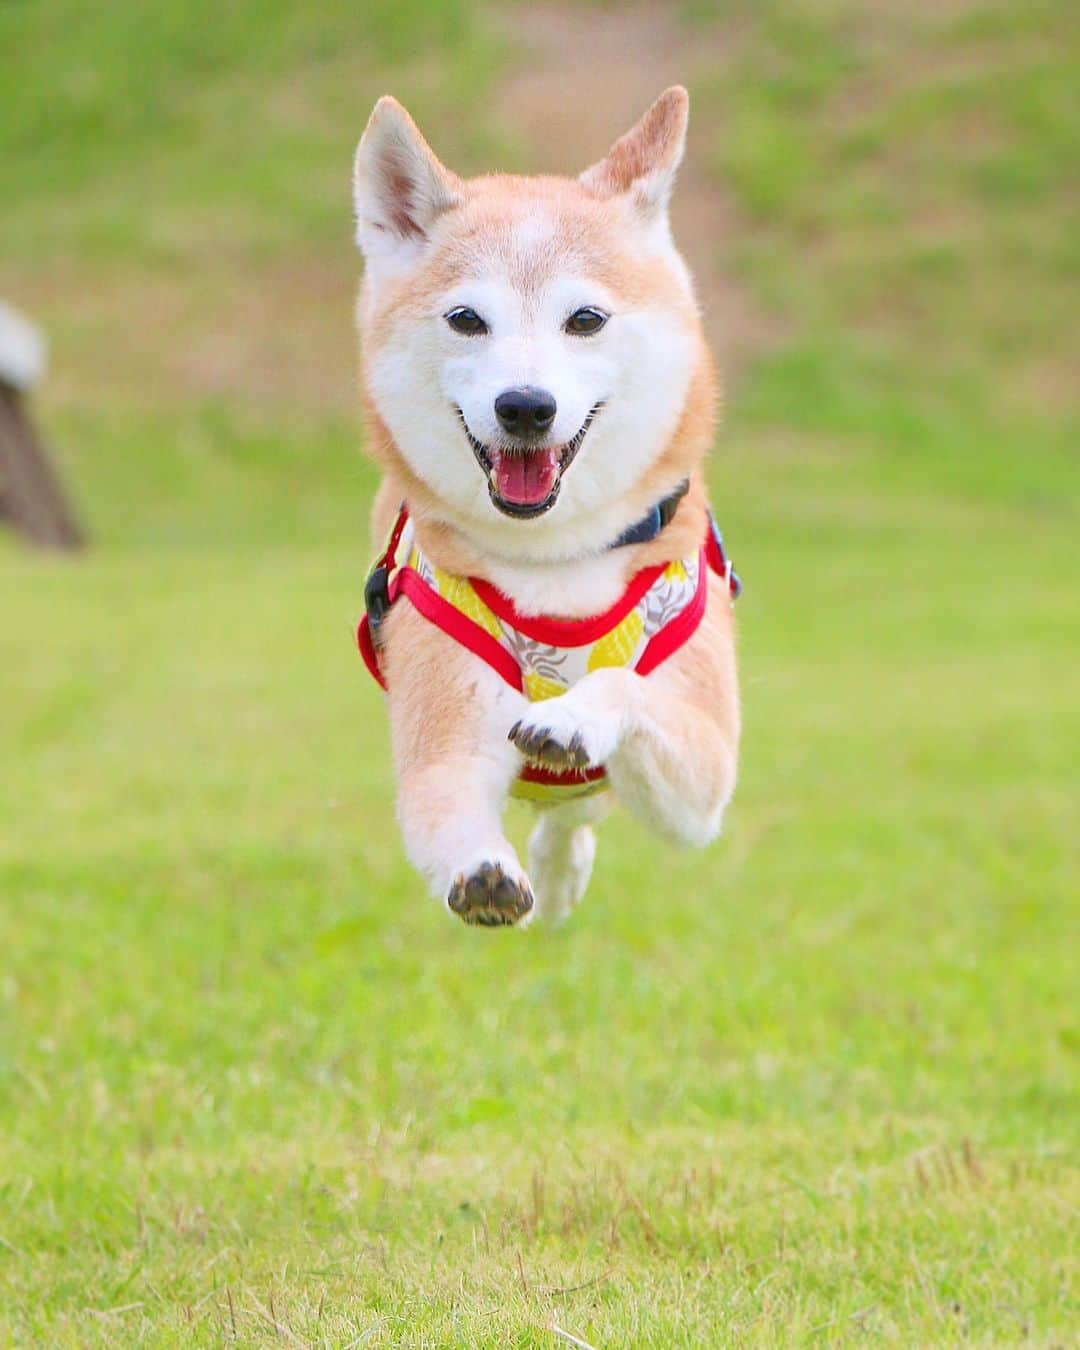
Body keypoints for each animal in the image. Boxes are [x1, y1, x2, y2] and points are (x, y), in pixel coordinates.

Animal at [353, 87, 745, 928]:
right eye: (467, 319)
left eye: (586, 320)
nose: (526, 406)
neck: (557, 558)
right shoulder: (442, 744)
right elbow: (448, 805)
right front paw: (485, 870)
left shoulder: (705, 777)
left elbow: (624, 687)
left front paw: (569, 717)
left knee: (578, 810)